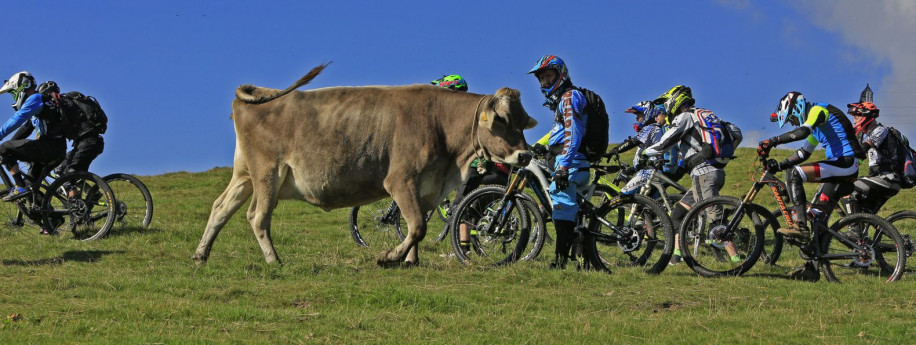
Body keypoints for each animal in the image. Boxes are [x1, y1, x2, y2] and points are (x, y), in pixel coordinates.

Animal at [193, 63, 536, 264]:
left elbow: (415, 226)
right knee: (257, 216)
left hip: (245, 175)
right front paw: (389, 256)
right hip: (268, 173)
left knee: (220, 207)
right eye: (502, 120)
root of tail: (266, 93)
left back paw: (201, 254)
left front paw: (409, 261)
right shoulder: (400, 180)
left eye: (521, 122)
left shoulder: (426, 188)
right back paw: (273, 259)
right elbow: (417, 226)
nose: (525, 156)